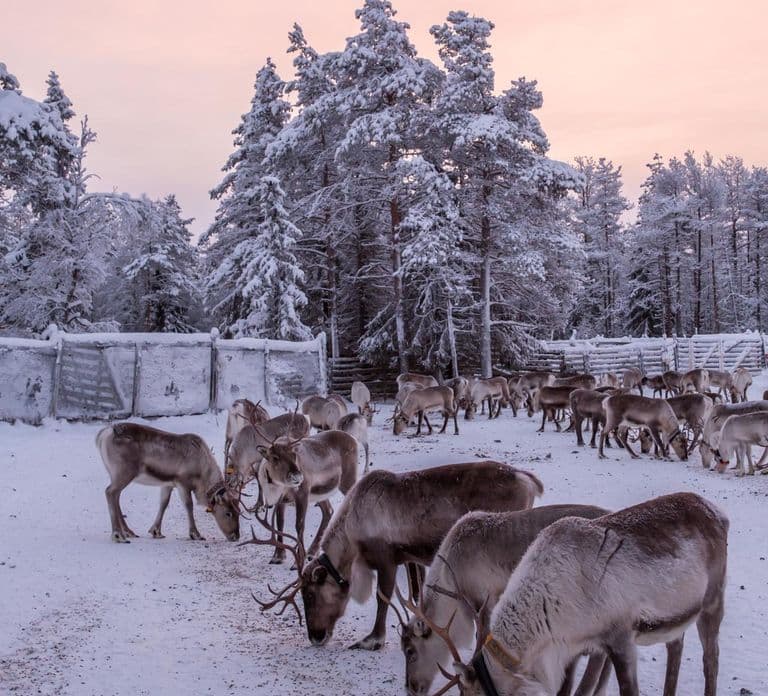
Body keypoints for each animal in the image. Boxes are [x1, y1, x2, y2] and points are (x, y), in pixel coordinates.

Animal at [96, 423, 240, 543]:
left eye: (239, 511)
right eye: (228, 513)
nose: (236, 536)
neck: (202, 473)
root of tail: (104, 434)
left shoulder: (168, 484)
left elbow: (164, 503)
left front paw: (156, 531)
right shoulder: (182, 483)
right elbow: (189, 505)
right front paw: (195, 534)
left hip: (115, 474)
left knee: (116, 496)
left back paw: (128, 532)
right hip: (124, 472)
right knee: (110, 492)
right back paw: (118, 535)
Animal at [246, 461, 543, 651]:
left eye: (309, 594)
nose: (315, 637)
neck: (353, 530)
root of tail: (529, 480)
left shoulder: (385, 559)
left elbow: (383, 598)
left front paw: (373, 640)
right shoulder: (409, 557)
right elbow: (415, 593)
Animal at [255, 429, 358, 562]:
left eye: (294, 455)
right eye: (275, 457)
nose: (297, 476)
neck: (276, 487)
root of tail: (353, 438)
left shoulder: (302, 494)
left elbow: (299, 526)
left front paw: (297, 560)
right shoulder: (281, 501)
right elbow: (279, 524)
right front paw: (278, 556)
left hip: (348, 481)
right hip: (320, 494)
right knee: (328, 511)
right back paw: (312, 552)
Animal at [434, 492, 728, 696]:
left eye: (472, 694)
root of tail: (716, 511)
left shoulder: (620, 636)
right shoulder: (576, 648)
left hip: (713, 601)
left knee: (711, 659)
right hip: (675, 614)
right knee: (675, 647)